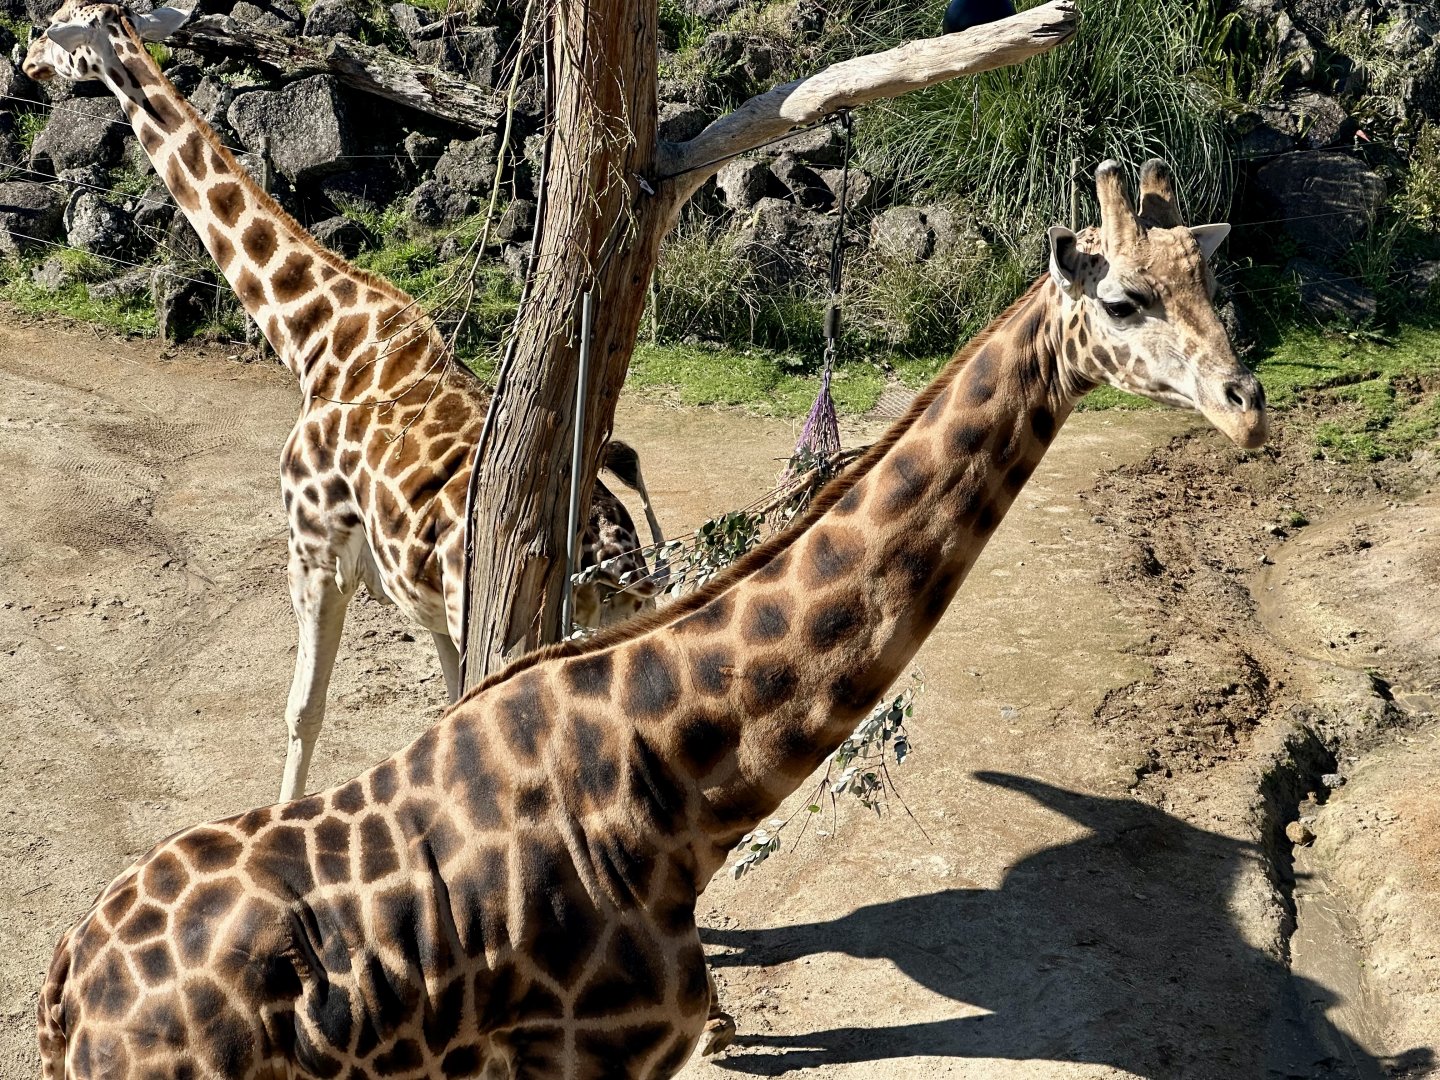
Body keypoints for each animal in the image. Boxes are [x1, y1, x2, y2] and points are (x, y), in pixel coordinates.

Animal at [21, 1, 667, 802]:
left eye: (61, 22)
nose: (26, 61)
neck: (317, 340)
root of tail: (618, 562)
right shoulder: (419, 597)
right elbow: (443, 710)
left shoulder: (316, 550)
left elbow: (303, 708)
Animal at [33, 152, 1265, 1079]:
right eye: (1124, 301)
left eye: (1215, 285)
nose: (1246, 407)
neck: (676, 782)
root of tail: (62, 996)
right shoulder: (598, 1060)